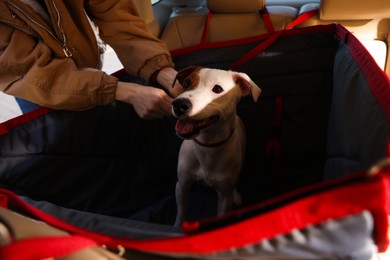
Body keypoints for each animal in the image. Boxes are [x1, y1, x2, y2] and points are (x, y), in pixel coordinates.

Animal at [171, 65, 260, 225]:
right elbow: (181, 213)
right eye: (186, 83)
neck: (207, 145)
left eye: (217, 89)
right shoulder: (182, 185)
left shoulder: (224, 196)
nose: (179, 104)